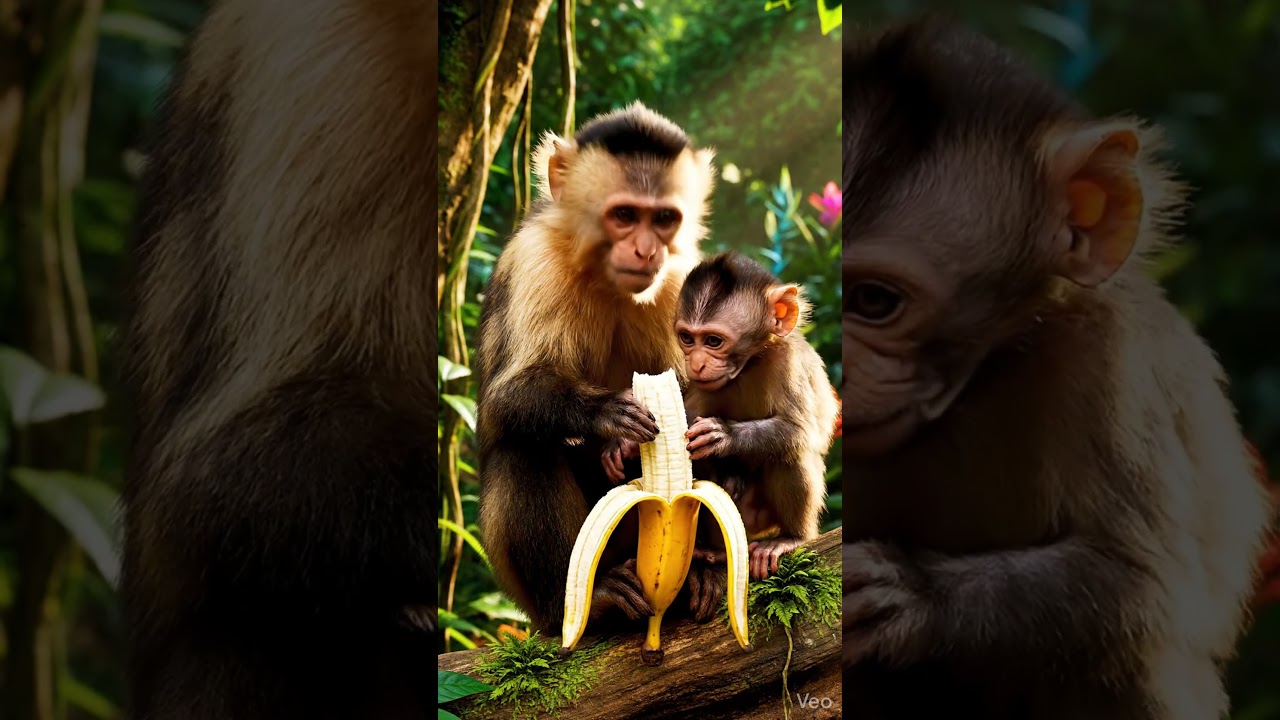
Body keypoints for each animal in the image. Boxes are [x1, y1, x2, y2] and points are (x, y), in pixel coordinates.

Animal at [474, 102, 716, 636]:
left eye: (663, 219)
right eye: (624, 215)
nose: (646, 250)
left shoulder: (679, 275)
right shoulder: (537, 259)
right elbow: (504, 399)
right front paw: (607, 419)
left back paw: (699, 573)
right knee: (524, 447)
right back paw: (585, 602)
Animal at [601, 251, 837, 585]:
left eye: (713, 341)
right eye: (687, 338)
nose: (697, 363)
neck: (750, 363)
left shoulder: (789, 363)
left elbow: (801, 431)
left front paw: (723, 436)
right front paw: (624, 443)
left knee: (791, 453)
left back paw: (791, 538)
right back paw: (714, 550)